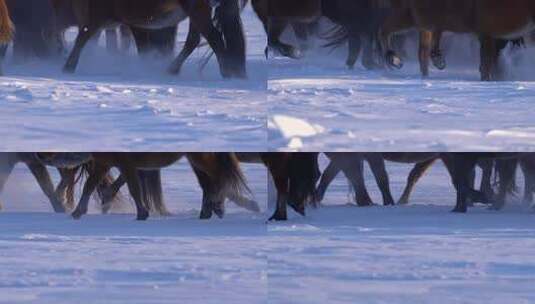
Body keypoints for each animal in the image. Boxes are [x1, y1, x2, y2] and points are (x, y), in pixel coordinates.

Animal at [62, 0, 247, 78]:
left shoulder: (102, 16)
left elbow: (82, 38)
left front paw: (68, 67)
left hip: (197, 10)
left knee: (214, 38)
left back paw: (227, 72)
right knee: (194, 40)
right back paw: (171, 70)